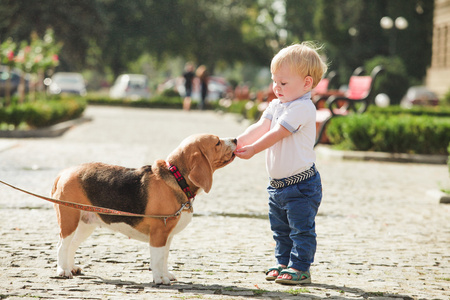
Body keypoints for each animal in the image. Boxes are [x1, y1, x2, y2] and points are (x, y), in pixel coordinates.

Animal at [51, 134, 237, 284]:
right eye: (217, 142)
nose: (235, 139)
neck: (176, 178)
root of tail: (65, 172)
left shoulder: (167, 236)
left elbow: (164, 257)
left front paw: (166, 275)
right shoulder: (158, 233)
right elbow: (157, 258)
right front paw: (160, 279)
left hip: (85, 224)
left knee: (72, 245)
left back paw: (71, 267)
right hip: (69, 220)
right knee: (62, 245)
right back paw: (63, 271)